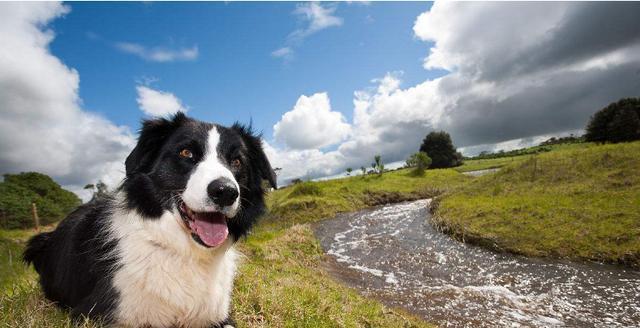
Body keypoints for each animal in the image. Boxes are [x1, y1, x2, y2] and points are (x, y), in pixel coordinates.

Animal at [22, 111, 276, 326]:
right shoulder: (97, 314)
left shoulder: (216, 315)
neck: (183, 251)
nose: (225, 192)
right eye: (186, 153)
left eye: (237, 162)